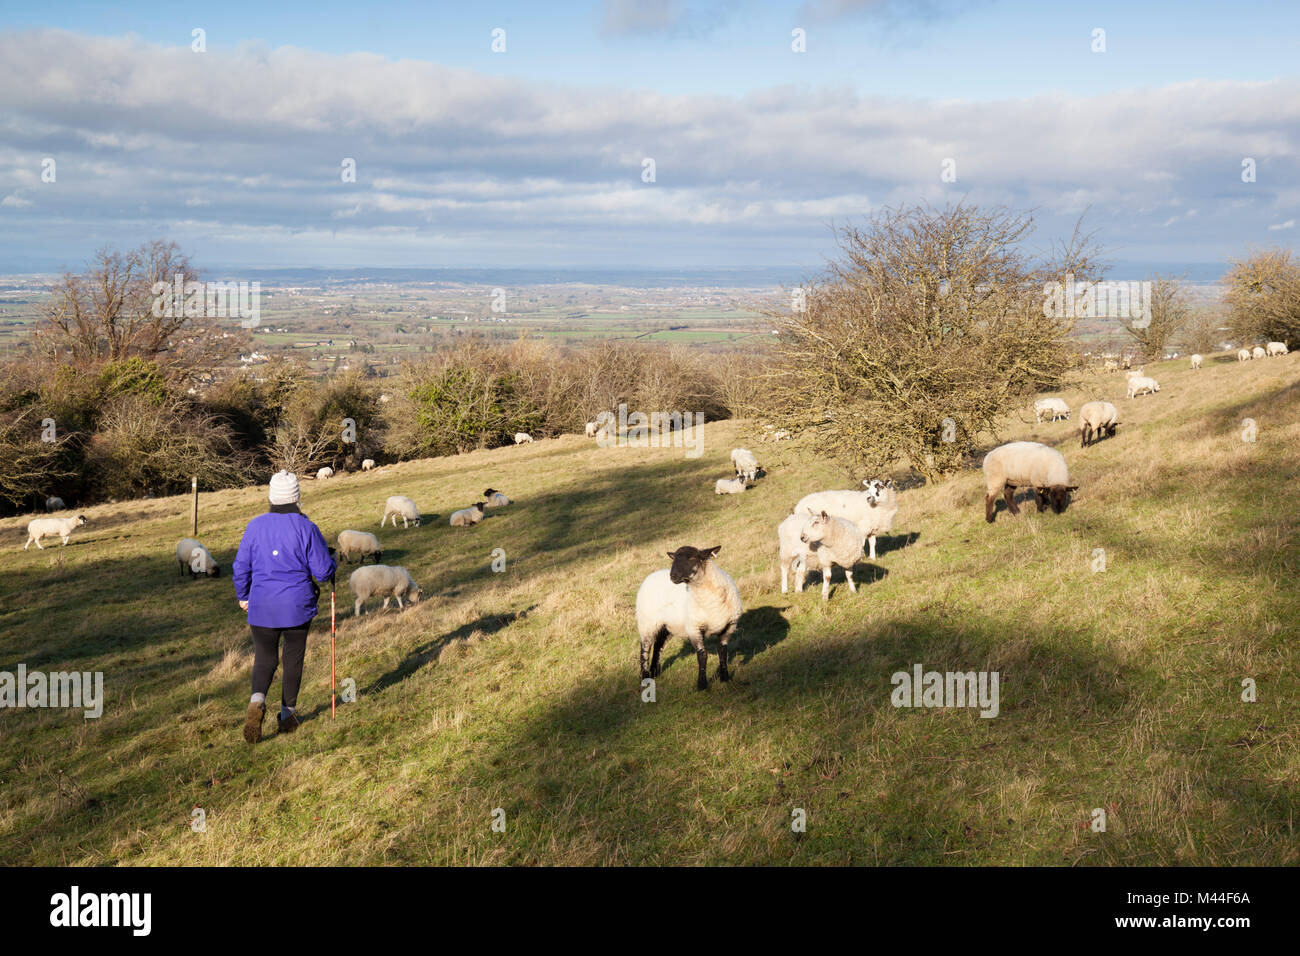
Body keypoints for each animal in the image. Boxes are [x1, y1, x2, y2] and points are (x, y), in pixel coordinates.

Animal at [637, 541, 743, 691]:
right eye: (674, 558)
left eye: (693, 558)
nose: (673, 576)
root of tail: (651, 575)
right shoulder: (695, 628)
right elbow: (702, 656)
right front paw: (702, 684)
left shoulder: (729, 626)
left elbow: (722, 652)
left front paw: (725, 678)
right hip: (647, 623)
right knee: (645, 649)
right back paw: (645, 677)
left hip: (667, 626)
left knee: (658, 646)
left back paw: (655, 672)